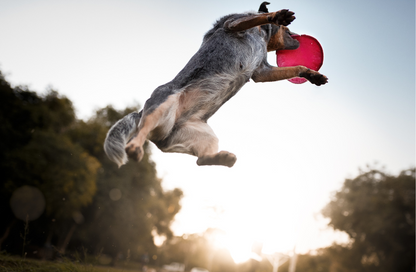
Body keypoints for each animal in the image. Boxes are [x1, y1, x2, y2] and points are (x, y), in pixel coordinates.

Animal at [104, 1, 328, 168]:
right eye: (287, 28)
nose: (298, 37)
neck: (262, 36)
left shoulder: (262, 72)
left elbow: (297, 66)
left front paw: (312, 75)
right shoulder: (234, 23)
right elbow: (255, 17)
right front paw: (277, 15)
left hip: (205, 136)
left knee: (200, 160)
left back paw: (222, 158)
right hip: (162, 104)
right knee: (141, 132)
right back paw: (135, 148)